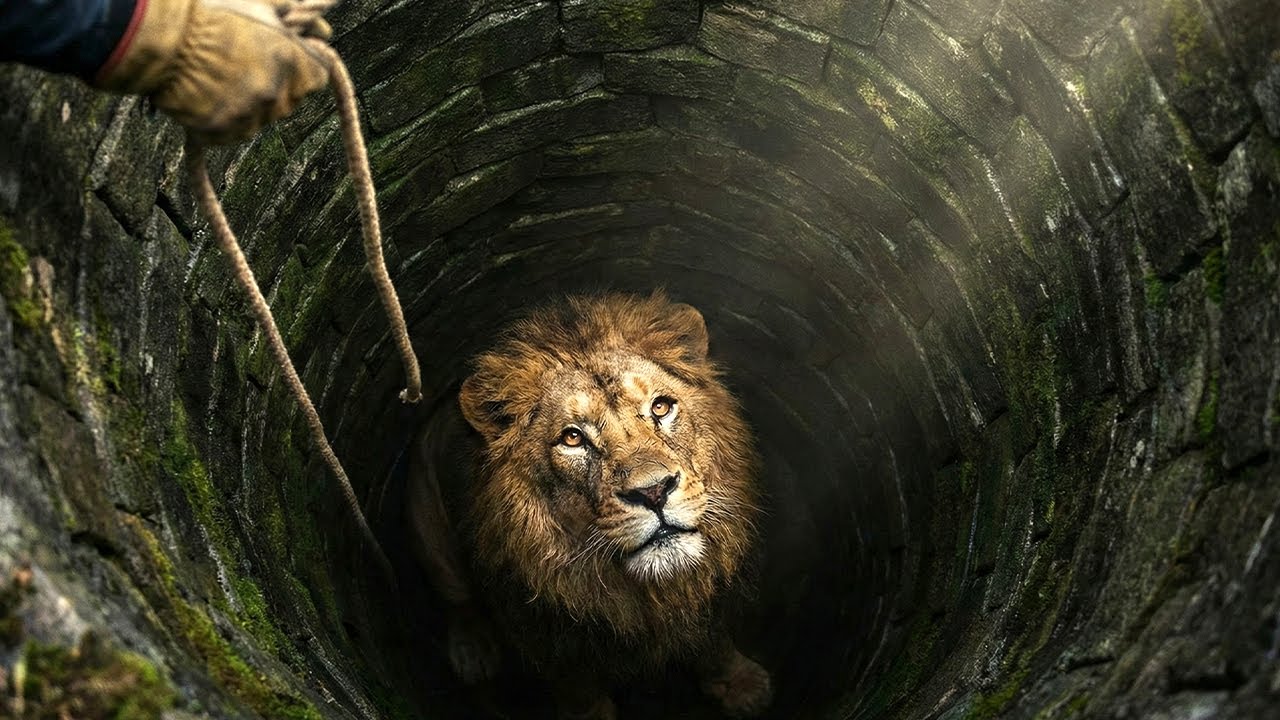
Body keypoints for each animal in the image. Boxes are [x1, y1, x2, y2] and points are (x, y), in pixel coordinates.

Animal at [405, 291, 772, 718]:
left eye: (661, 407)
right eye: (573, 438)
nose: (653, 492)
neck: (645, 595)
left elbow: (715, 642)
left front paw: (741, 686)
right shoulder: (552, 642)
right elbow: (579, 692)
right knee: (457, 598)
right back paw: (473, 652)